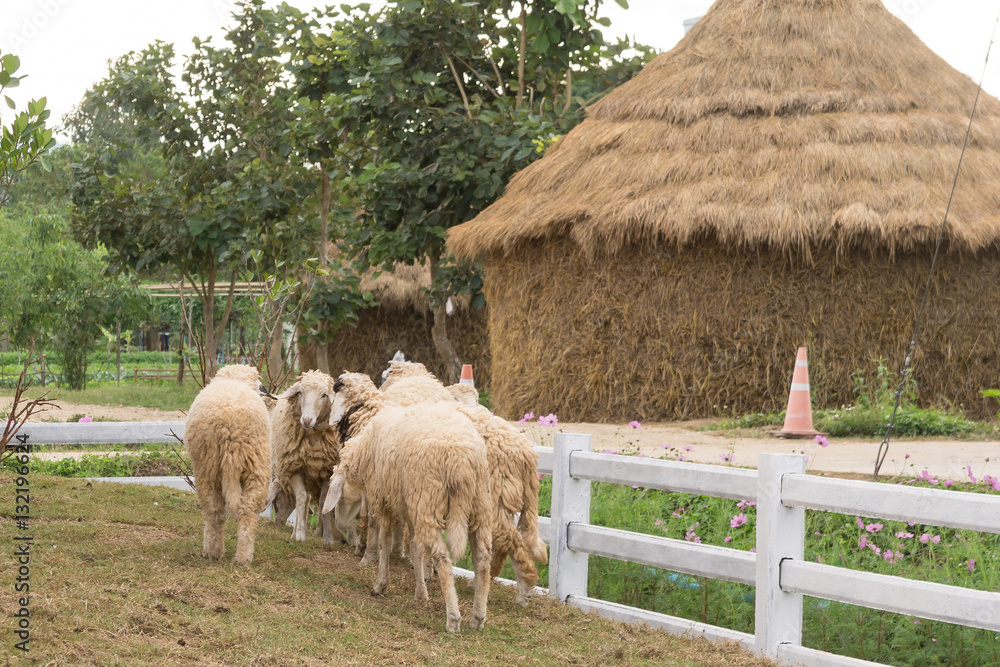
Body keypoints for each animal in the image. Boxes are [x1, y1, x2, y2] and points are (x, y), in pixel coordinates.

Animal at [184, 364, 271, 565]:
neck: (235, 379)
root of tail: (233, 432)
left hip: (207, 468)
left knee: (214, 510)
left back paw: (213, 552)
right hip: (256, 464)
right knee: (247, 511)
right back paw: (242, 558)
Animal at [265, 370, 343, 544]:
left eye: (324, 395)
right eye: (300, 392)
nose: (306, 420)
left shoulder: (327, 471)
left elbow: (323, 502)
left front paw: (328, 538)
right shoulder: (295, 468)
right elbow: (301, 497)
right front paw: (300, 534)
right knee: (304, 500)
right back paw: (295, 532)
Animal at [323, 372, 493, 632]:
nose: (341, 525)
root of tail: (461, 460)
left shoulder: (383, 499)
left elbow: (382, 538)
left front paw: (378, 580)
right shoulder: (409, 508)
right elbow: (415, 548)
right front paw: (420, 591)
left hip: (429, 505)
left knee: (443, 558)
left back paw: (453, 618)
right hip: (478, 507)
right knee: (482, 559)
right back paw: (478, 617)